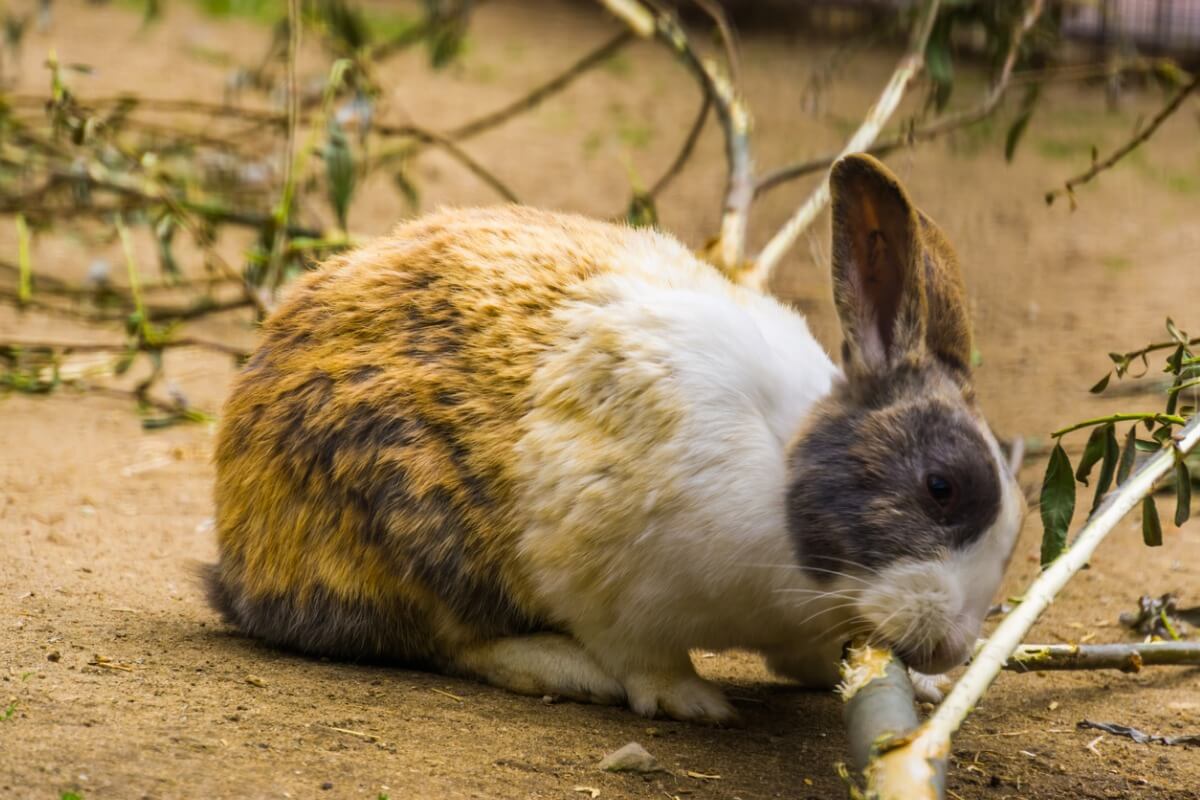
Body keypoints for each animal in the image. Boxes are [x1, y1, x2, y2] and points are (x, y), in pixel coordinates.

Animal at [205, 153, 1026, 724]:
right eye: (941, 488)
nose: (953, 647)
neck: (782, 470)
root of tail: (241, 559)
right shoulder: (609, 579)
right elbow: (645, 658)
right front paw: (691, 701)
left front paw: (922, 685)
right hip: (415, 524)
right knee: (446, 640)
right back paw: (569, 670)